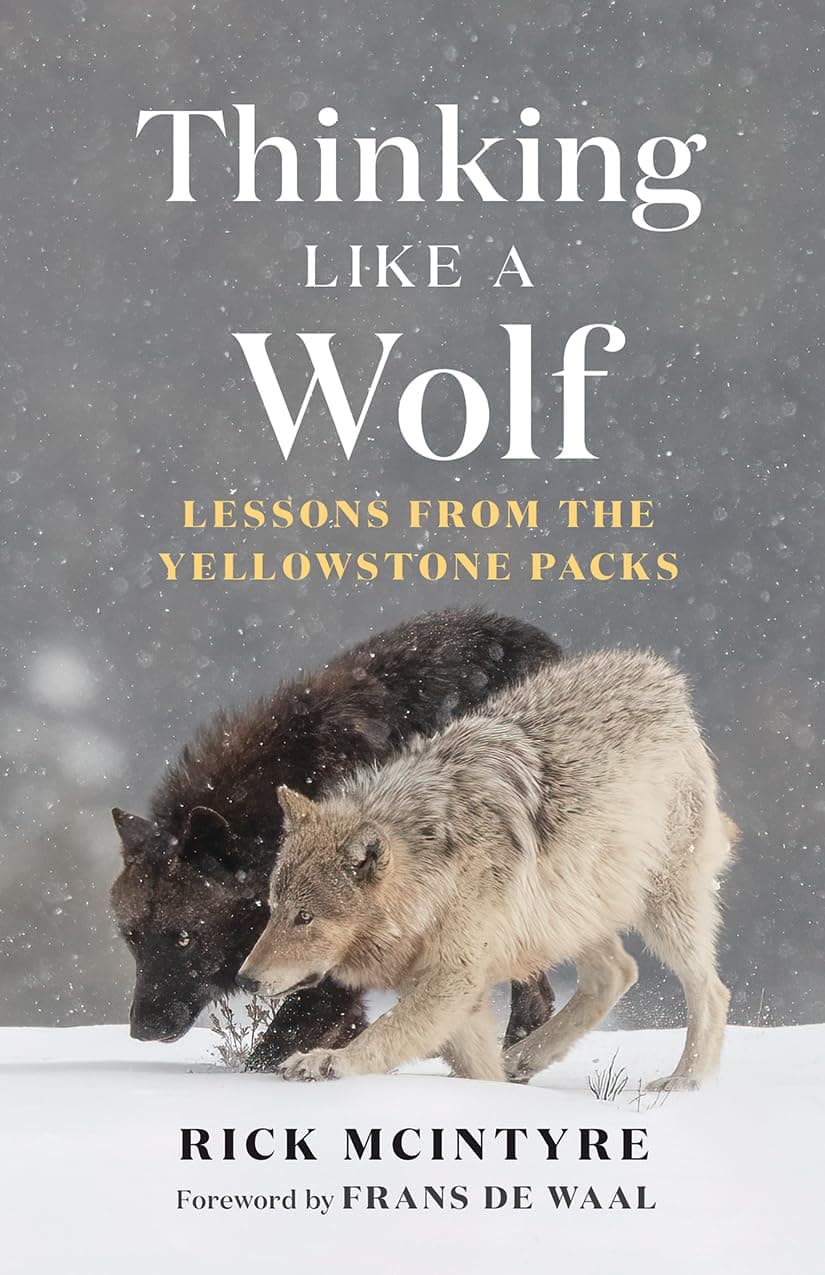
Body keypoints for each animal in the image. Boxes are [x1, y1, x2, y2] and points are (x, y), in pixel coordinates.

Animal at [239, 649, 736, 1090]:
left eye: (305, 918)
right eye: (273, 908)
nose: (245, 979)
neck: (432, 868)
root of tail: (664, 677)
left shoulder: (454, 979)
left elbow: (385, 1032)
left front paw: (327, 1062)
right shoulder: (455, 989)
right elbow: (475, 1068)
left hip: (663, 908)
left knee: (711, 992)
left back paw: (684, 1081)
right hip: (567, 917)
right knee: (617, 972)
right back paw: (522, 1059)